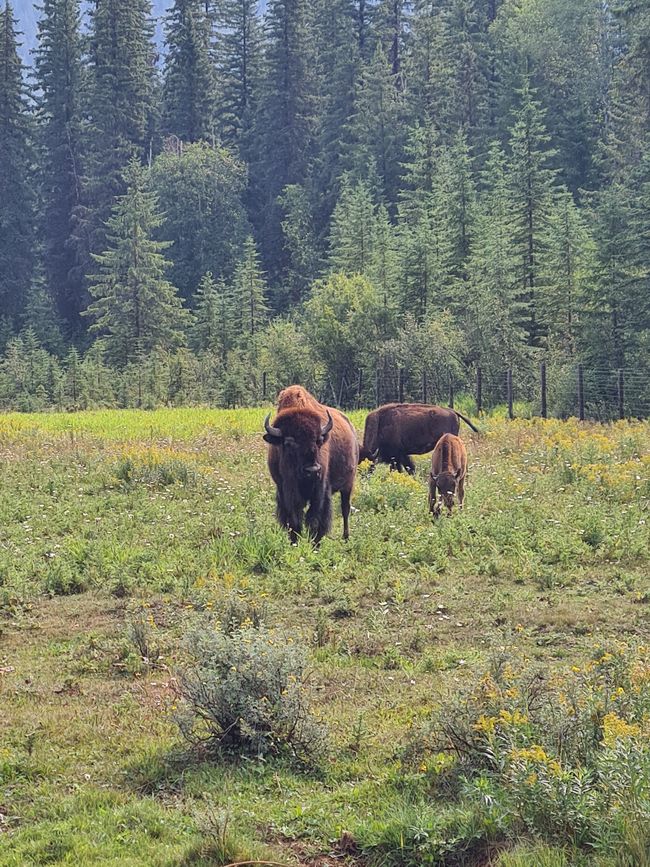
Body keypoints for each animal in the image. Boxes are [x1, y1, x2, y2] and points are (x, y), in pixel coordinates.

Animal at [260, 388, 356, 544]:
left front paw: (314, 543)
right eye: (289, 443)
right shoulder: (285, 490)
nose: (312, 470)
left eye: (318, 441)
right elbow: (294, 520)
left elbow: (315, 520)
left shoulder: (320, 490)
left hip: (348, 484)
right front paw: (294, 542)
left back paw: (346, 538)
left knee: (345, 509)